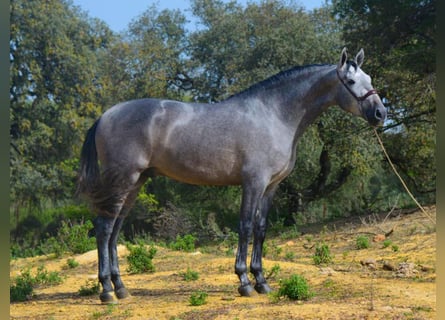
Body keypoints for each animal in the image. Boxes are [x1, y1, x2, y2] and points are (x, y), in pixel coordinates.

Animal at [77, 47, 386, 302]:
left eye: (369, 78)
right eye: (351, 82)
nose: (380, 113)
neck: (274, 114)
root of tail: (105, 116)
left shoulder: (271, 186)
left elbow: (261, 229)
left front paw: (262, 281)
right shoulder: (253, 183)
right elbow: (245, 227)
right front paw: (244, 282)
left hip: (136, 182)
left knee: (115, 229)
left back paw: (121, 287)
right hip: (123, 180)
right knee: (104, 228)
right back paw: (106, 291)